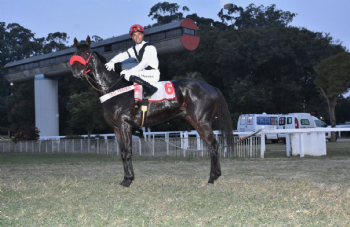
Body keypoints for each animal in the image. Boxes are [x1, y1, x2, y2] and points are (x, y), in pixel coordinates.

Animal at [70, 36, 232, 187]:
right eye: (75, 53)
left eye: (87, 53)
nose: (76, 70)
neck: (113, 88)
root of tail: (211, 87)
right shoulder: (116, 128)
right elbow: (122, 153)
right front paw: (126, 178)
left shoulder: (125, 125)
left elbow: (127, 152)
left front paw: (128, 180)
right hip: (195, 121)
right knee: (211, 145)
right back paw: (215, 175)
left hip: (202, 122)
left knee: (213, 145)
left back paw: (211, 178)